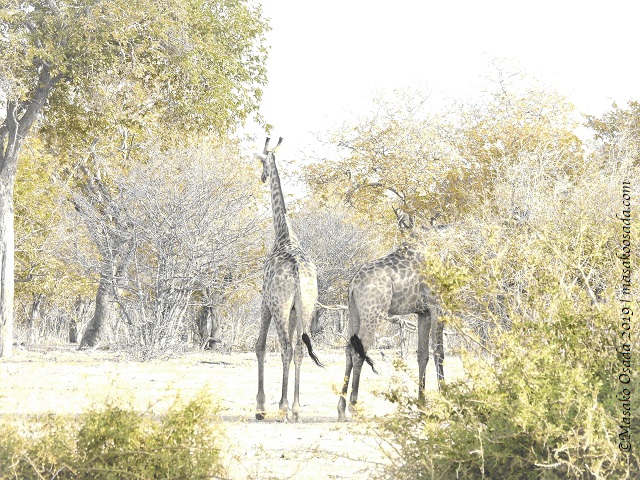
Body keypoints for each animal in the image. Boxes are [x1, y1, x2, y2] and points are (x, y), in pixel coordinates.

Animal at [337, 226, 444, 421]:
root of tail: (353, 284)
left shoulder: (423, 313)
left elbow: (422, 354)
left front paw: (422, 405)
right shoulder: (437, 306)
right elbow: (438, 352)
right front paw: (447, 396)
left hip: (354, 313)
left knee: (348, 350)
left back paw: (341, 410)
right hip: (372, 314)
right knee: (358, 351)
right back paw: (354, 407)